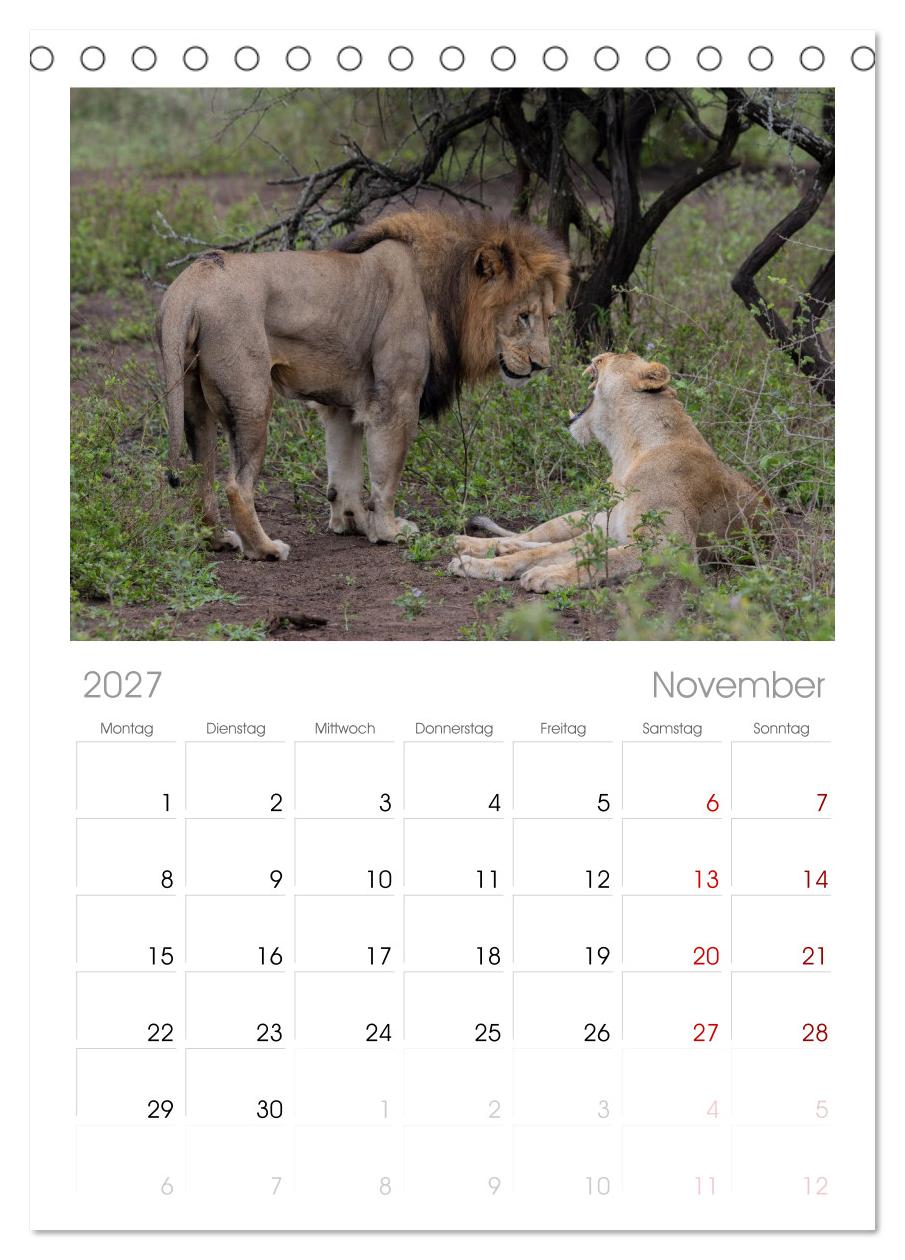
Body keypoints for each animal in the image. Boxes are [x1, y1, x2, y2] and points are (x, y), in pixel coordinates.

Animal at [156, 211, 570, 560]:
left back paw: (216, 539)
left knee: (201, 477)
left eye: (550, 317)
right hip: (252, 399)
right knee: (236, 485)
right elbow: (386, 475)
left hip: (193, 403)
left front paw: (350, 522)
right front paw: (388, 531)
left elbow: (345, 473)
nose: (541, 365)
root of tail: (191, 284)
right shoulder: (396, 398)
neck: (445, 293)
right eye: (523, 316)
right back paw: (265, 549)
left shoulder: (342, 405)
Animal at [448, 351, 772, 592]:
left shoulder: (668, 548)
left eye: (621, 355)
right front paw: (474, 564)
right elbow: (541, 552)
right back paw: (470, 543)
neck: (626, 454)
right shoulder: (605, 533)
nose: (599, 353)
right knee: (532, 535)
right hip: (582, 516)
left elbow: (597, 561)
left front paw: (548, 575)